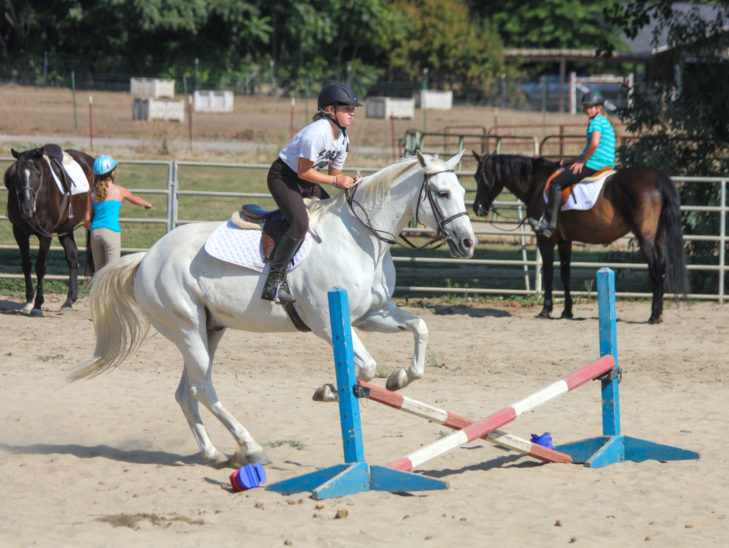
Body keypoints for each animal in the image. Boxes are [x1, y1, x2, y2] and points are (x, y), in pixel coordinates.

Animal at [3, 146, 94, 314]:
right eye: (16, 175)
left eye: (38, 174)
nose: (26, 208)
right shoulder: (19, 232)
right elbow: (26, 264)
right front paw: (28, 301)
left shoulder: (46, 234)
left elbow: (40, 266)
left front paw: (38, 304)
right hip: (66, 228)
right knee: (72, 257)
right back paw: (69, 301)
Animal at [71, 150, 474, 466]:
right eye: (442, 193)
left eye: (462, 192)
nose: (468, 243)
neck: (361, 237)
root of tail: (146, 257)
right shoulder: (326, 321)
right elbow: (366, 367)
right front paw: (331, 389)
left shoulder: (371, 314)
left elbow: (418, 328)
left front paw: (399, 379)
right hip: (186, 329)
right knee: (204, 389)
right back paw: (250, 447)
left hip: (209, 329)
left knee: (187, 392)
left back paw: (214, 454)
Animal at [472, 152, 688, 324]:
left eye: (478, 177)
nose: (477, 208)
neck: (537, 182)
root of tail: (658, 178)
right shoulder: (564, 241)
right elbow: (565, 274)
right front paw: (567, 311)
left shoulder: (546, 241)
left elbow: (548, 273)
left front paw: (546, 310)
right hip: (659, 237)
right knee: (662, 267)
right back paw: (658, 312)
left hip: (645, 238)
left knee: (655, 268)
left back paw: (654, 315)